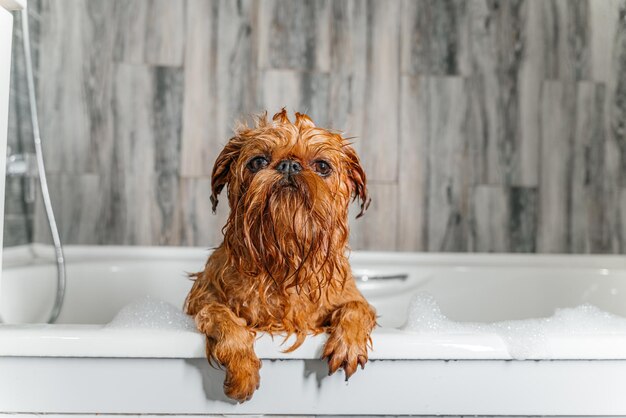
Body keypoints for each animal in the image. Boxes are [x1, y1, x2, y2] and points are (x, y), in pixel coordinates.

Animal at [183, 110, 372, 402]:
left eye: (322, 166)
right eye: (258, 161)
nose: (289, 165)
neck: (285, 261)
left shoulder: (351, 297)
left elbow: (356, 308)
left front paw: (348, 343)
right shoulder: (202, 300)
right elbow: (220, 314)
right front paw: (243, 367)